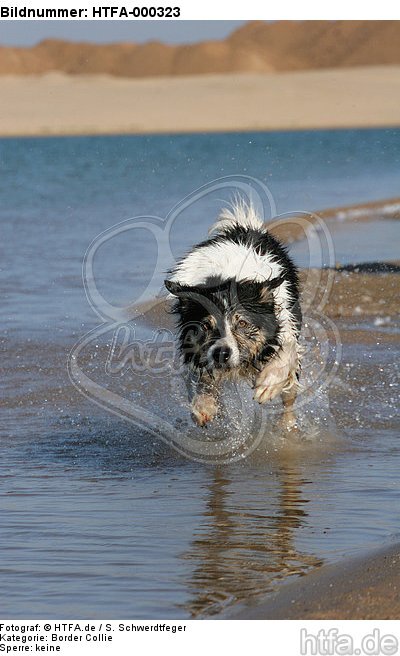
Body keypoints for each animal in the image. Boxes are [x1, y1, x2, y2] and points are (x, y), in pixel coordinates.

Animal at [164, 200, 302, 426]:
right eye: (205, 325)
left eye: (243, 323)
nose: (221, 353)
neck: (227, 279)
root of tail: (242, 226)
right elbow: (203, 376)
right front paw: (204, 404)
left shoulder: (285, 325)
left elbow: (285, 352)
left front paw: (267, 385)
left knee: (290, 396)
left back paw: (288, 426)